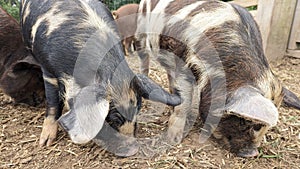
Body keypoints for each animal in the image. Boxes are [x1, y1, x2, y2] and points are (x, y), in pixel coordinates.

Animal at [20, 0, 180, 157]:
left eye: (137, 111)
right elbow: (53, 103)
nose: (134, 150)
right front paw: (45, 143)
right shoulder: (48, 71)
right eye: (110, 119)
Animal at [136, 0, 300, 157]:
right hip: (141, 33)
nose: (252, 153)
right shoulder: (183, 62)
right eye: (247, 123)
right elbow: (185, 101)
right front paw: (173, 139)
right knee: (144, 60)